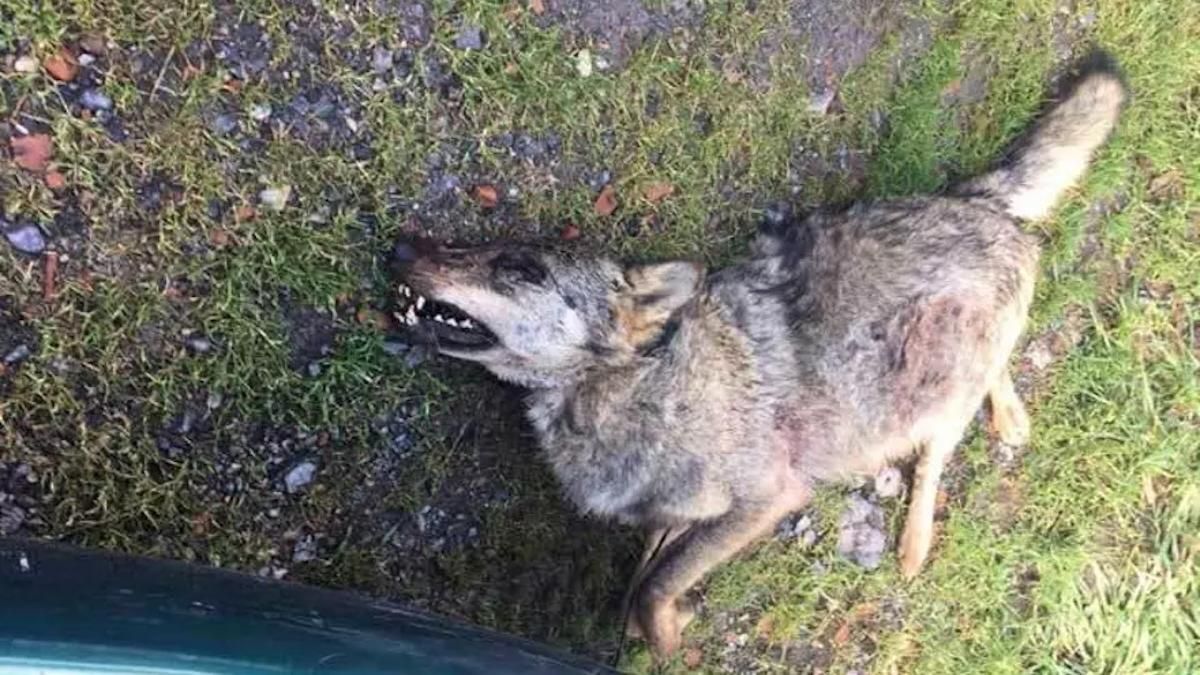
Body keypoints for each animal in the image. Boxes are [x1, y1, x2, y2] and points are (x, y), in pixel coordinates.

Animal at [390, 58, 1126, 658]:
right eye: (473, 247)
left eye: (519, 269)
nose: (399, 247)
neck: (630, 388)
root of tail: (972, 201)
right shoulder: (677, 515)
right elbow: (642, 579)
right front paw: (655, 623)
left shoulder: (766, 498)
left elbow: (652, 587)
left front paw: (663, 638)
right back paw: (1009, 415)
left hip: (933, 382)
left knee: (939, 448)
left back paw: (920, 536)